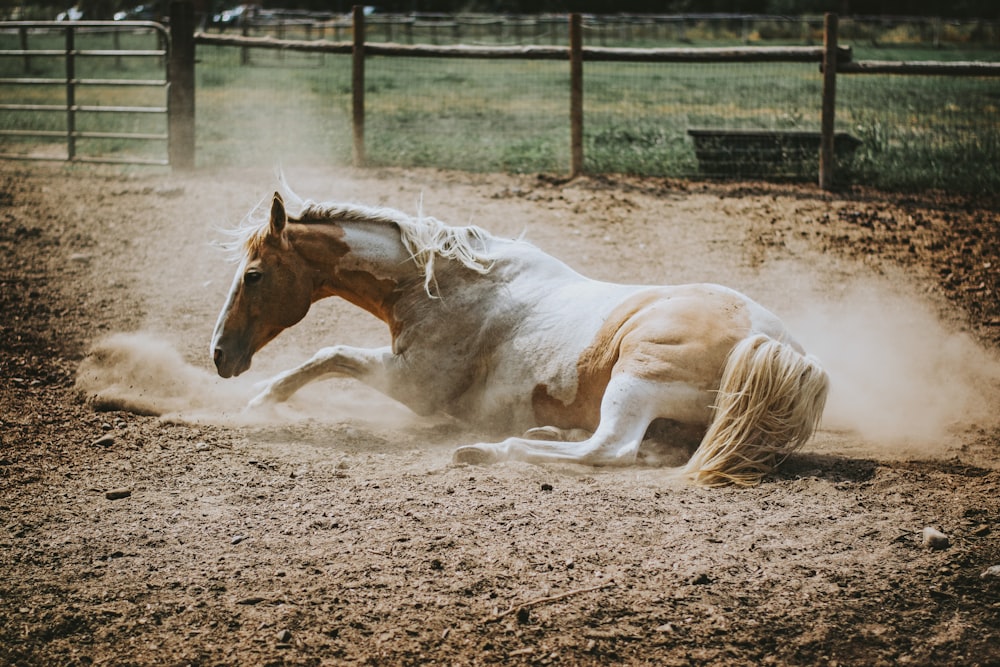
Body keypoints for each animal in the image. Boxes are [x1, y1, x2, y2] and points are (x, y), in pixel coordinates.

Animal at [211, 185, 828, 488]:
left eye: (253, 275)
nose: (219, 356)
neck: (441, 284)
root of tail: (779, 348)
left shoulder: (413, 386)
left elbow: (328, 353)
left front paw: (259, 403)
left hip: (636, 379)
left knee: (612, 447)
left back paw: (489, 450)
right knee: (640, 447)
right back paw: (543, 431)